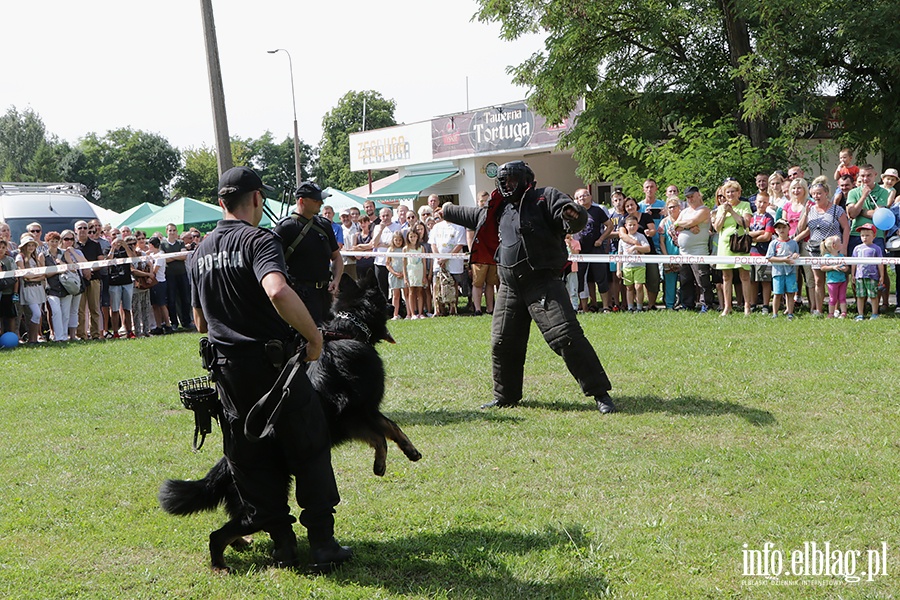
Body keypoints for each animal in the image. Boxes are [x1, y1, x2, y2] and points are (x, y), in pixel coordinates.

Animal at [160, 272, 424, 572]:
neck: (347, 330)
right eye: (383, 297)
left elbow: (382, 434)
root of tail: (226, 464)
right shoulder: (360, 413)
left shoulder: (355, 419)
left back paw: (248, 546)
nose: (395, 306)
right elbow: (388, 428)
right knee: (220, 533)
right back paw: (221, 565)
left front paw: (384, 461)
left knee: (249, 525)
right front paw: (406, 453)